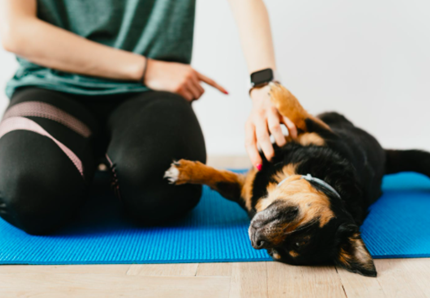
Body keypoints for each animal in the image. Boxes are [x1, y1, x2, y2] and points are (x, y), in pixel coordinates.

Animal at [163, 82, 428, 278]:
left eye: (276, 252)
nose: (257, 241)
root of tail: (384, 156)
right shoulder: (326, 136)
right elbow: (217, 177)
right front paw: (185, 172)